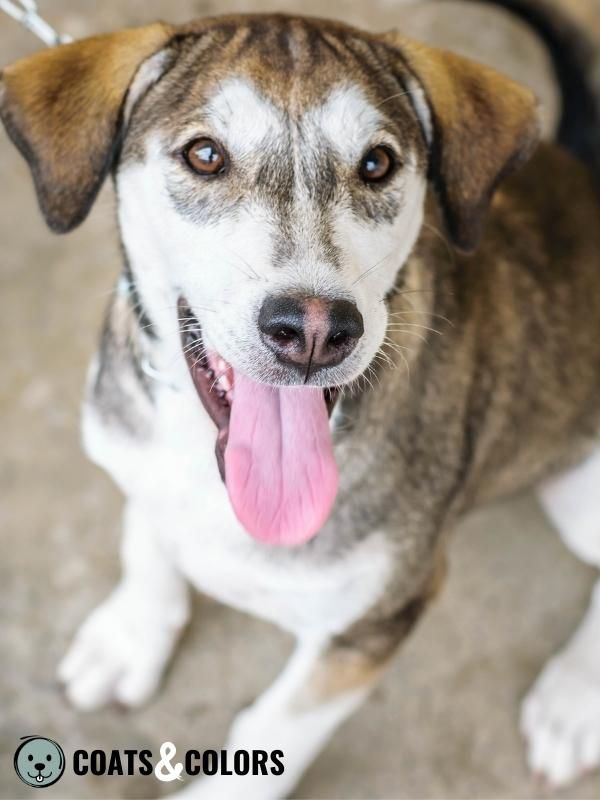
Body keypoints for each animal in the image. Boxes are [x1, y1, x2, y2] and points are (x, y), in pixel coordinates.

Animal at [3, 3, 600, 796]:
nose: (315, 331)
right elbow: (146, 540)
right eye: (204, 155)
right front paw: (130, 637)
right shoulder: (136, 463)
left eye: (377, 164)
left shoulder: (372, 624)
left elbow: (277, 727)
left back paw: (573, 701)